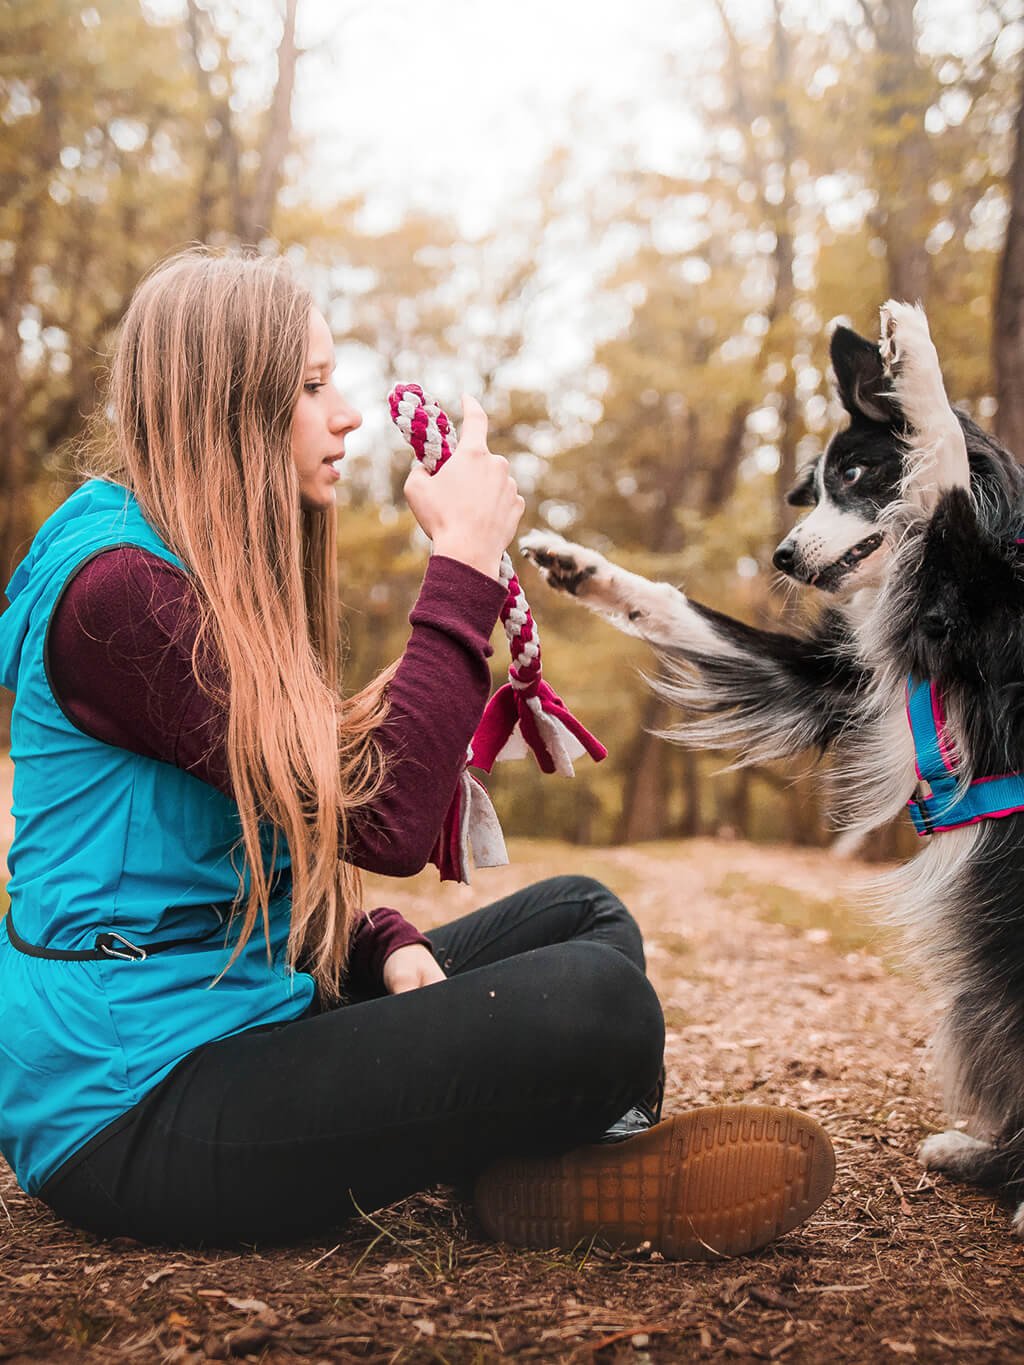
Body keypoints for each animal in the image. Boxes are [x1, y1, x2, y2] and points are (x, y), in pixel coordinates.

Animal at [524, 301, 1024, 1239]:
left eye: (858, 472)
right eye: (816, 487)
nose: (785, 557)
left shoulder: (974, 599)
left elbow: (939, 467)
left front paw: (915, 355)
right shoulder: (830, 676)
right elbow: (678, 609)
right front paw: (582, 565)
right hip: (977, 998)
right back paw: (974, 1154)